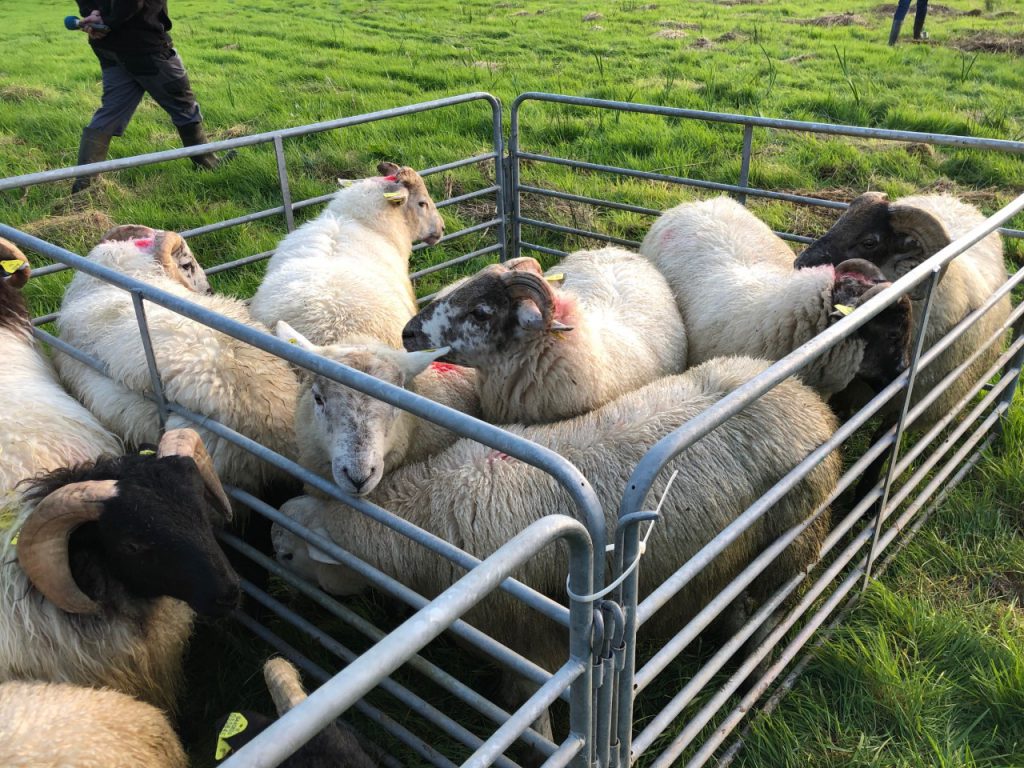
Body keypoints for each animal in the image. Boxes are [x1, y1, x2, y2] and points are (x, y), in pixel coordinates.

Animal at [284, 356, 841, 730]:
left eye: (289, 553)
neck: (427, 514)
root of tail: (805, 397)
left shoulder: (529, 643)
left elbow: (534, 723)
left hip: (788, 547)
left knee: (768, 616)